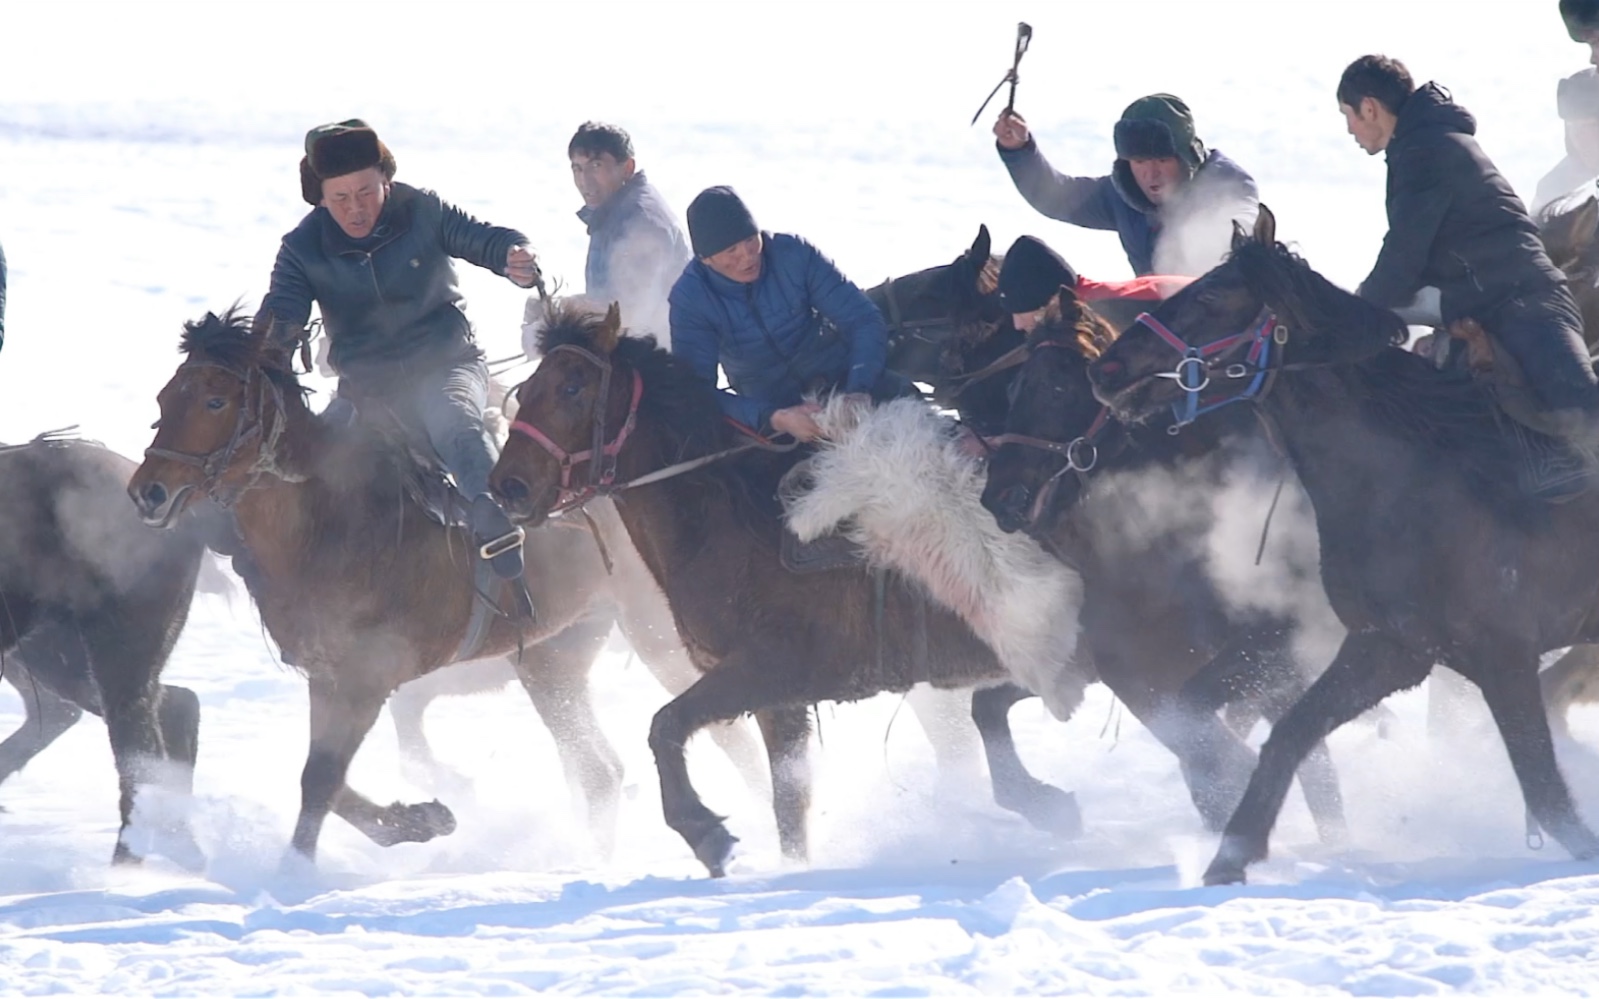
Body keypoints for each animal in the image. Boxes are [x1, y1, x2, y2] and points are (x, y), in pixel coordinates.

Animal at [127, 308, 645, 863]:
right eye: (164, 399)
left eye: (215, 400)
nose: (147, 492)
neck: (334, 518)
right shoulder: (326, 675)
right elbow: (328, 780)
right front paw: (421, 818)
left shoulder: (367, 678)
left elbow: (322, 778)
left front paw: (294, 870)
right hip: (554, 659)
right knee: (599, 770)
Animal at [486, 300, 1087, 875]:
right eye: (528, 388)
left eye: (572, 387)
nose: (507, 487)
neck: (732, 519)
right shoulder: (779, 701)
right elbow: (788, 804)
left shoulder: (766, 669)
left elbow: (665, 726)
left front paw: (705, 833)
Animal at [1087, 207, 1599, 882]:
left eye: (1212, 298)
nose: (1105, 372)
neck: (1418, 482)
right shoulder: (1387, 649)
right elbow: (1286, 735)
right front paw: (1230, 857)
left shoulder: (1503, 658)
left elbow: (1545, 790)